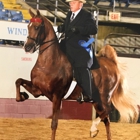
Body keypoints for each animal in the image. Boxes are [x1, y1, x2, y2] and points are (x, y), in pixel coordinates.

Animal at [15, 9, 139, 139]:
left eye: (37, 27)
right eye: (28, 26)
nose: (27, 47)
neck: (48, 62)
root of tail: (110, 62)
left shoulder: (57, 96)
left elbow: (54, 123)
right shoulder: (38, 90)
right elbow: (18, 81)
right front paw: (23, 96)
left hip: (105, 96)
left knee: (107, 112)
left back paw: (93, 129)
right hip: (97, 101)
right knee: (106, 120)